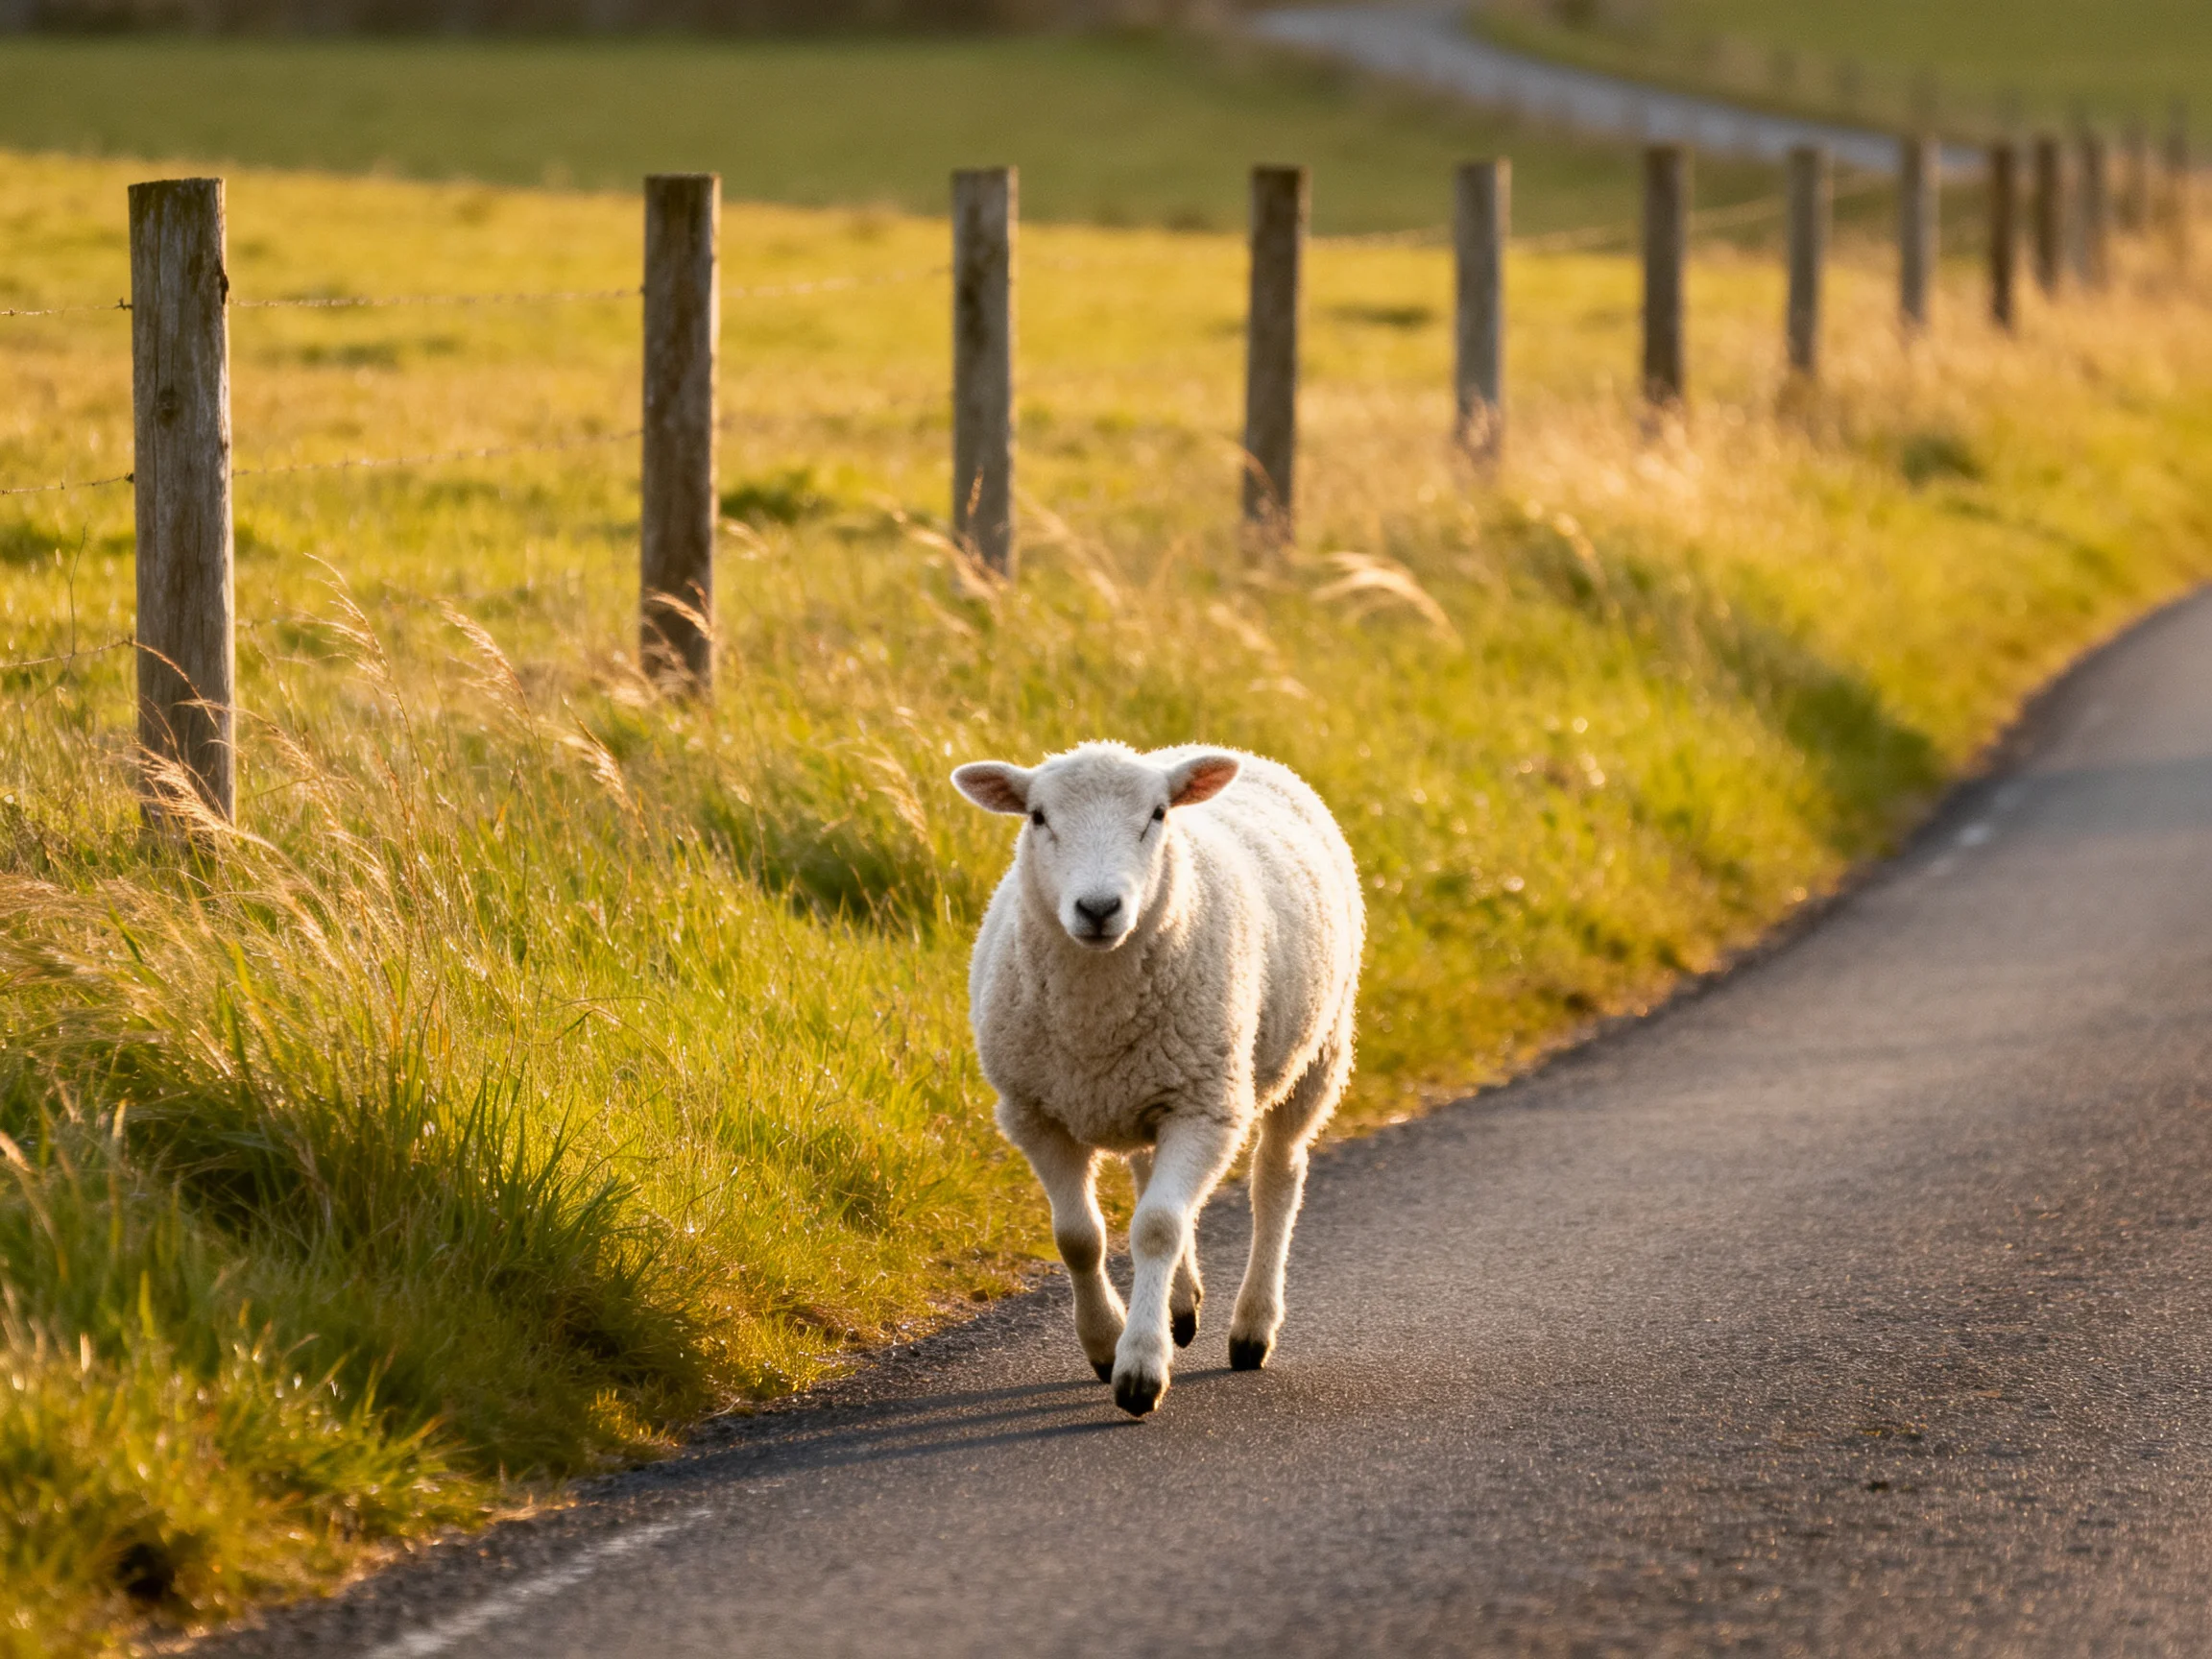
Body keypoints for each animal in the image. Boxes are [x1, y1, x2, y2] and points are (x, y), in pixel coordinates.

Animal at [950, 740, 1364, 1417]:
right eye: (1038, 817)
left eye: (1158, 815)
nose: (1097, 909)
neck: (1096, 1015)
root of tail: (1240, 754)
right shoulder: (1034, 1113)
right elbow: (1079, 1237)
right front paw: (1103, 1342)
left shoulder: (1205, 1109)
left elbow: (1156, 1228)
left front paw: (1139, 1368)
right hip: (1147, 1085)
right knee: (1151, 1172)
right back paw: (1181, 1305)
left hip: (1317, 1052)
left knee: (1277, 1178)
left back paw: (1252, 1326)